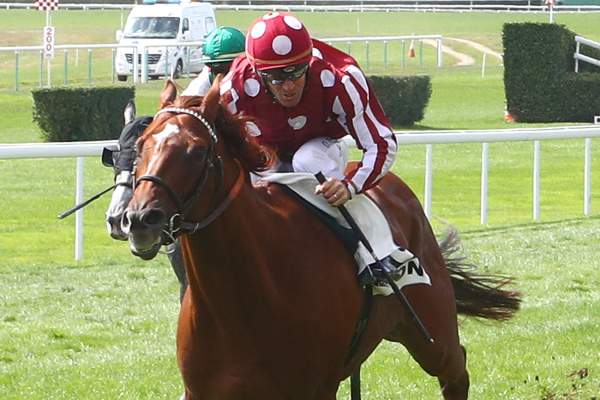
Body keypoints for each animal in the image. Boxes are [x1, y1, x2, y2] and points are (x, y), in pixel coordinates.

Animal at [123, 79, 520, 400]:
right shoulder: (206, 389)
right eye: (141, 145)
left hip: (432, 333)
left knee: (455, 372)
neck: (240, 302)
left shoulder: (313, 387)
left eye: (196, 150)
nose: (140, 218)